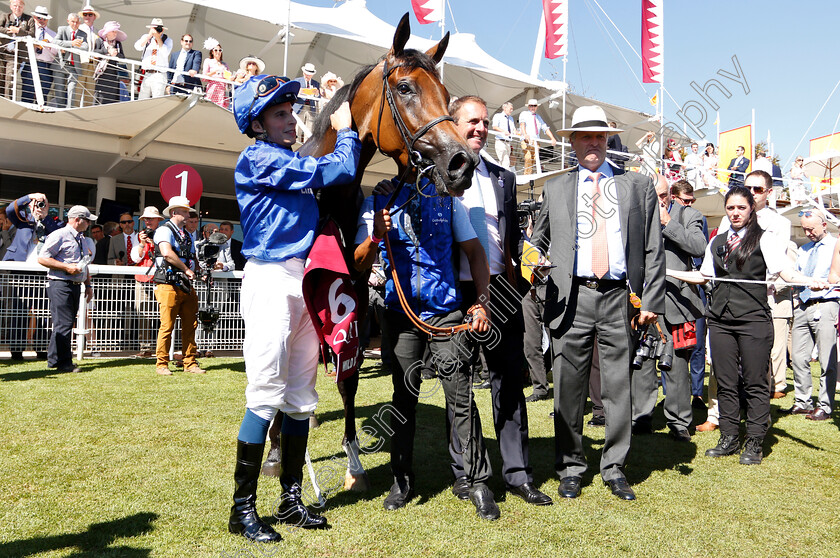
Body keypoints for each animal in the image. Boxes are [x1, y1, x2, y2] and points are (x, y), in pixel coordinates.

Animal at [260, 13, 476, 494]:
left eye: (446, 95)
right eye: (405, 88)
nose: (461, 164)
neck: (326, 191)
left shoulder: (352, 289)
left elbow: (350, 377)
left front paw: (354, 464)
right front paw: (278, 453)